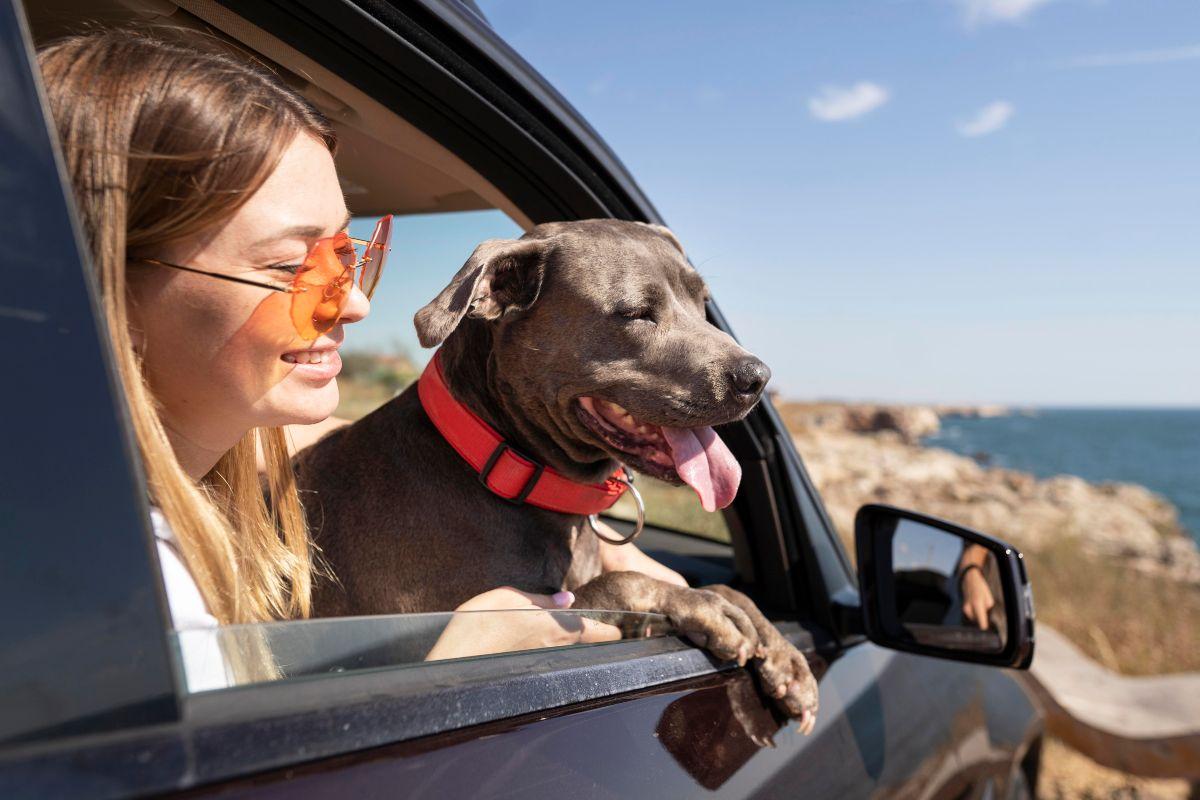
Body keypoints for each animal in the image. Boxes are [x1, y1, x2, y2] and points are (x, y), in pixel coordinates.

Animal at [298, 217, 820, 724]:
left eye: (703, 302)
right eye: (635, 313)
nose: (757, 378)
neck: (499, 463)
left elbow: (721, 588)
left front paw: (776, 646)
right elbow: (622, 582)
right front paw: (706, 606)